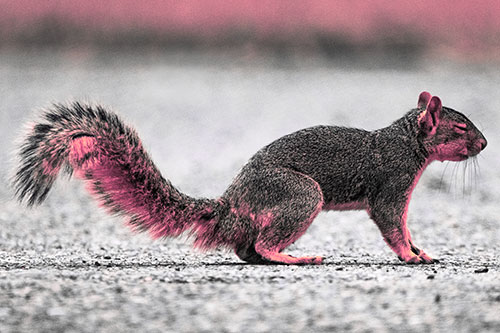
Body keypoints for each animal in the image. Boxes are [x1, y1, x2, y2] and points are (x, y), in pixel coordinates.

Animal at [11, 91, 486, 264]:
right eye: (460, 127)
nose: (483, 144)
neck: (408, 143)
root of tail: (231, 204)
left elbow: (404, 226)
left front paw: (421, 250)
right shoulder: (391, 184)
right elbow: (392, 225)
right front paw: (410, 256)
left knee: (246, 250)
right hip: (300, 194)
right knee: (261, 244)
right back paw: (294, 258)